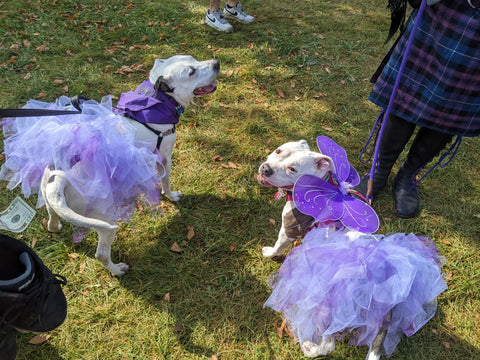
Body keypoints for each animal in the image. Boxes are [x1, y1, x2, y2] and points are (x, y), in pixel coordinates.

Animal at [39, 55, 219, 276]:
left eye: (193, 58)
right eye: (191, 71)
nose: (217, 63)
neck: (158, 101)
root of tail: (60, 178)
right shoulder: (165, 158)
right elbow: (166, 182)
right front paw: (171, 196)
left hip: (51, 203)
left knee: (51, 221)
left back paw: (56, 227)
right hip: (106, 220)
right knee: (101, 254)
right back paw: (117, 270)